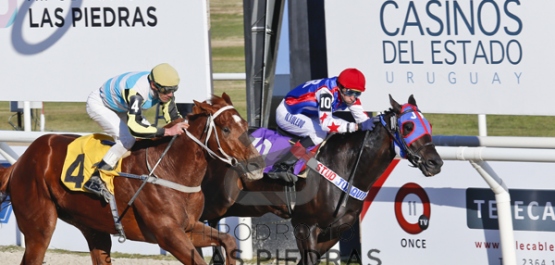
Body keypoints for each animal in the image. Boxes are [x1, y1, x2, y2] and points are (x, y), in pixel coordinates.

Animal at [0, 93, 266, 264]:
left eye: (245, 125)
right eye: (226, 129)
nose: (257, 164)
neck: (171, 169)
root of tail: (20, 162)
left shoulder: (188, 227)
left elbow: (228, 240)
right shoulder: (168, 234)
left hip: (92, 227)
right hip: (39, 227)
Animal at [200, 95, 444, 264]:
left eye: (430, 125)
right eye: (408, 126)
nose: (435, 163)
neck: (344, 165)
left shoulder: (334, 230)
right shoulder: (304, 225)